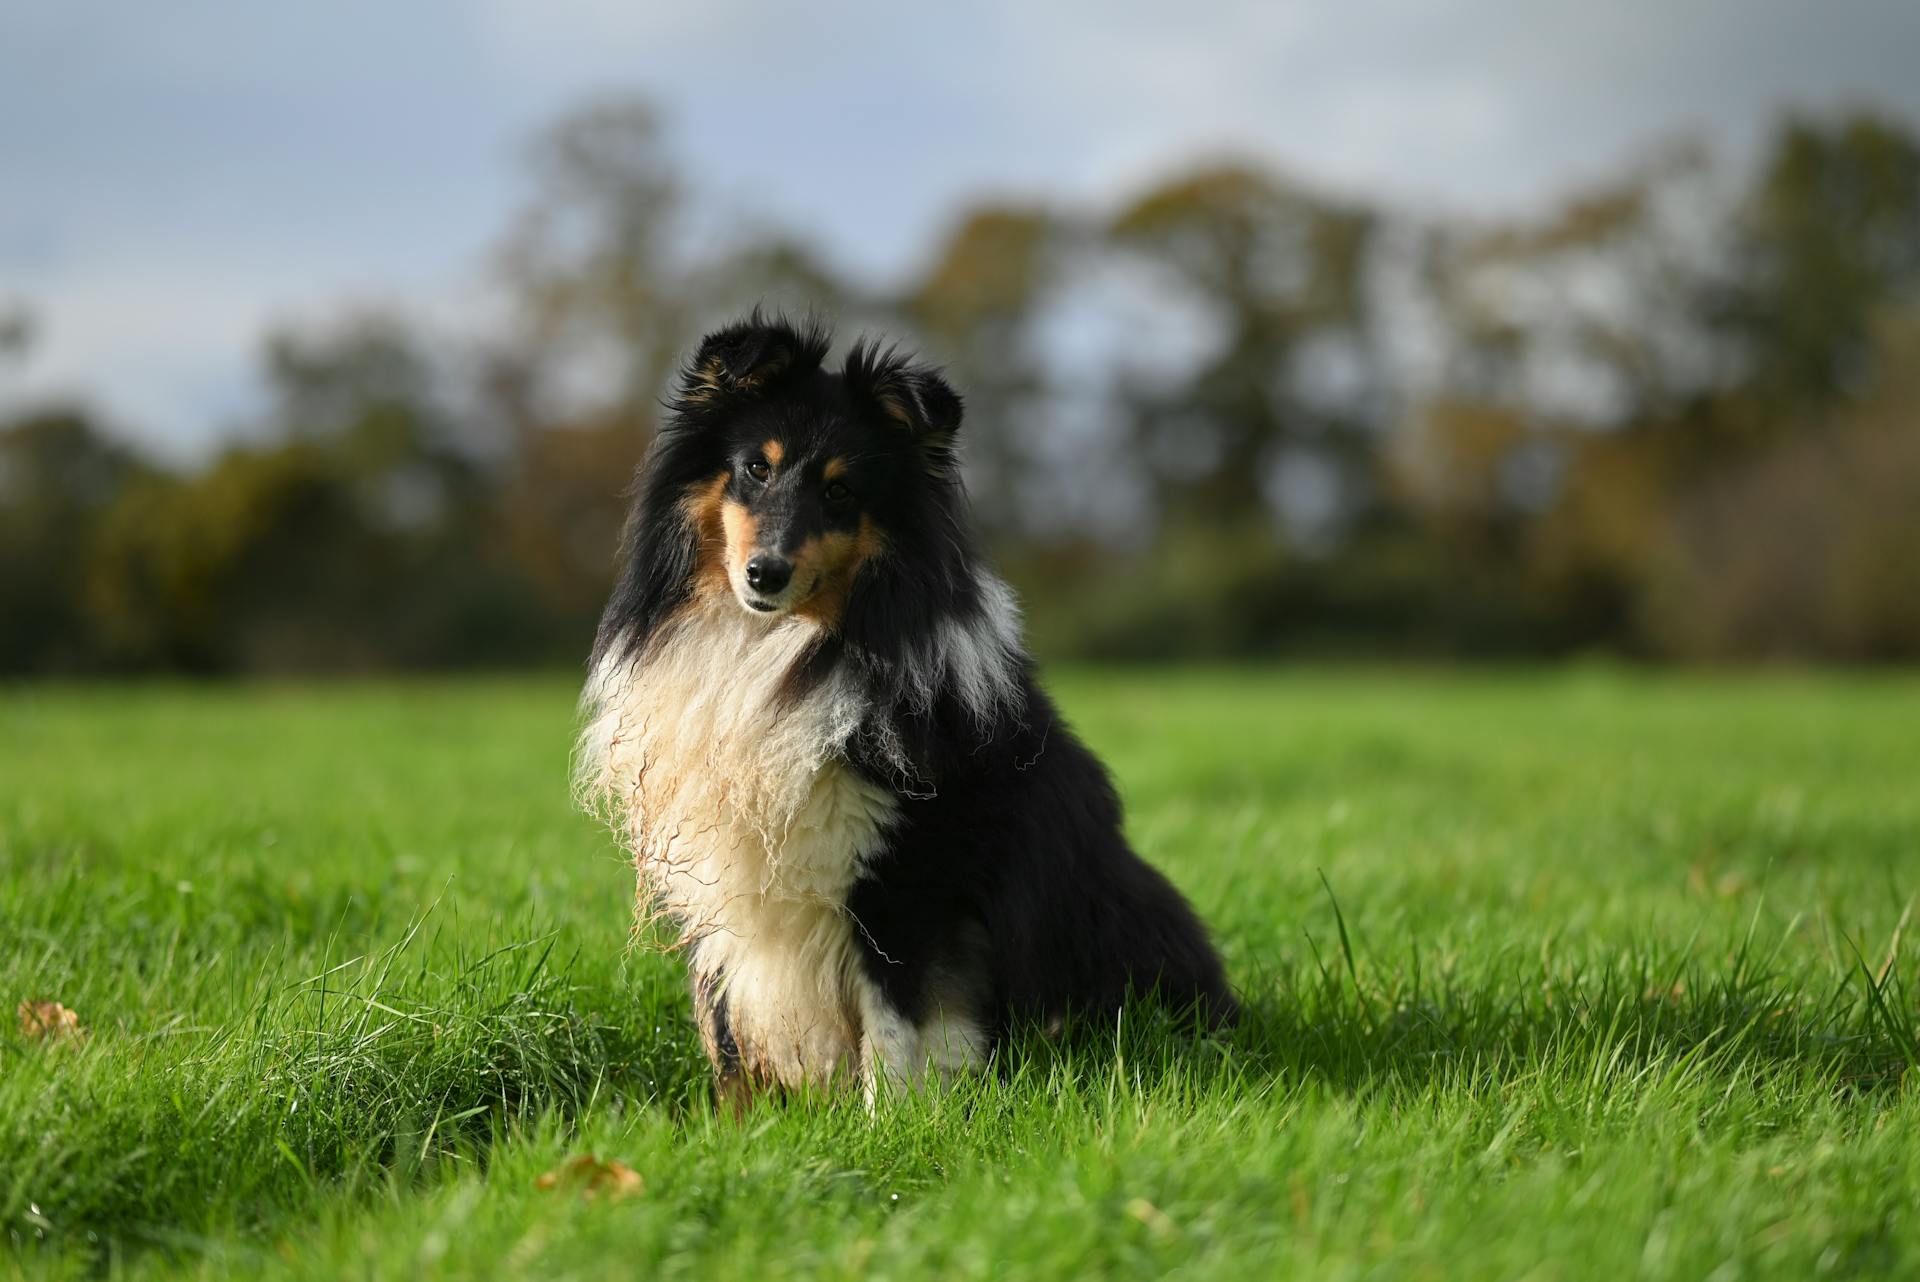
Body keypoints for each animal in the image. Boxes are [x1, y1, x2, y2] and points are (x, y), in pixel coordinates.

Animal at [572, 312, 1228, 1105]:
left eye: (841, 491)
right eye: (756, 468)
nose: (764, 574)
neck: (776, 651)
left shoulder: (907, 876)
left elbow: (896, 1027)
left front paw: (895, 1121)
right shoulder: (721, 875)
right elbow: (724, 1024)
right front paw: (741, 1122)